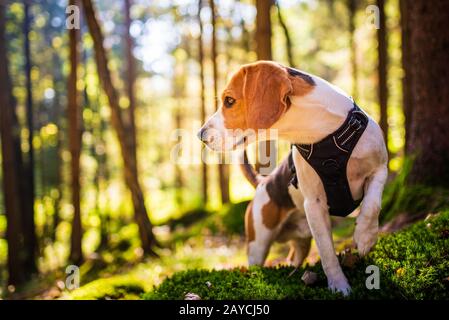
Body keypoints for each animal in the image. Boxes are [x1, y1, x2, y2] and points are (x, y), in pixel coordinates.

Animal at [198, 60, 386, 296]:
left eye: (229, 101)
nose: (200, 135)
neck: (324, 133)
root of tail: (262, 183)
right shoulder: (314, 204)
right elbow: (327, 252)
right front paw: (339, 285)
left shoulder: (380, 168)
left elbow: (372, 205)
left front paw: (365, 237)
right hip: (257, 244)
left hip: (300, 244)